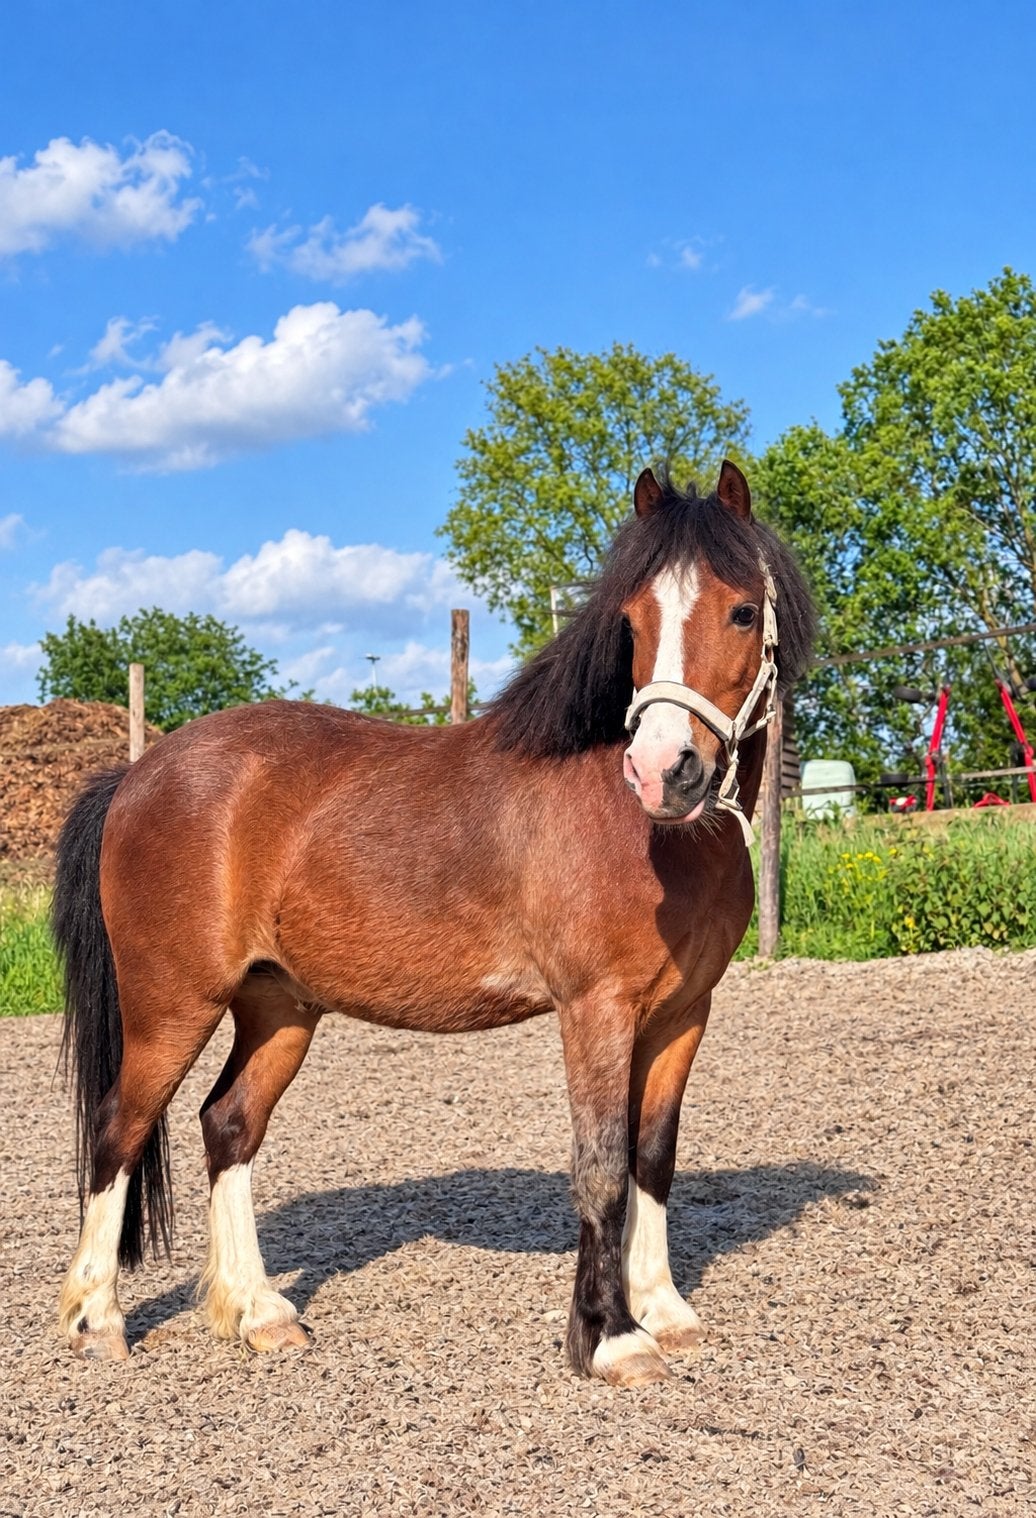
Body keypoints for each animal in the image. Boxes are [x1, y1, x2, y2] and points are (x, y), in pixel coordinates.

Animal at [55, 460, 813, 1386]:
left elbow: (652, 1157)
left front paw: (663, 1308)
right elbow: (600, 1164)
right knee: (116, 1131)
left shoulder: (681, 1014)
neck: (652, 836)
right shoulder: (595, 1010)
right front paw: (609, 1337)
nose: (662, 769)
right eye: (632, 621)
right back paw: (95, 1320)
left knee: (227, 1126)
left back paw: (258, 1312)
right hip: (172, 1005)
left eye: (741, 610)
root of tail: (134, 777)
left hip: (278, 1007)